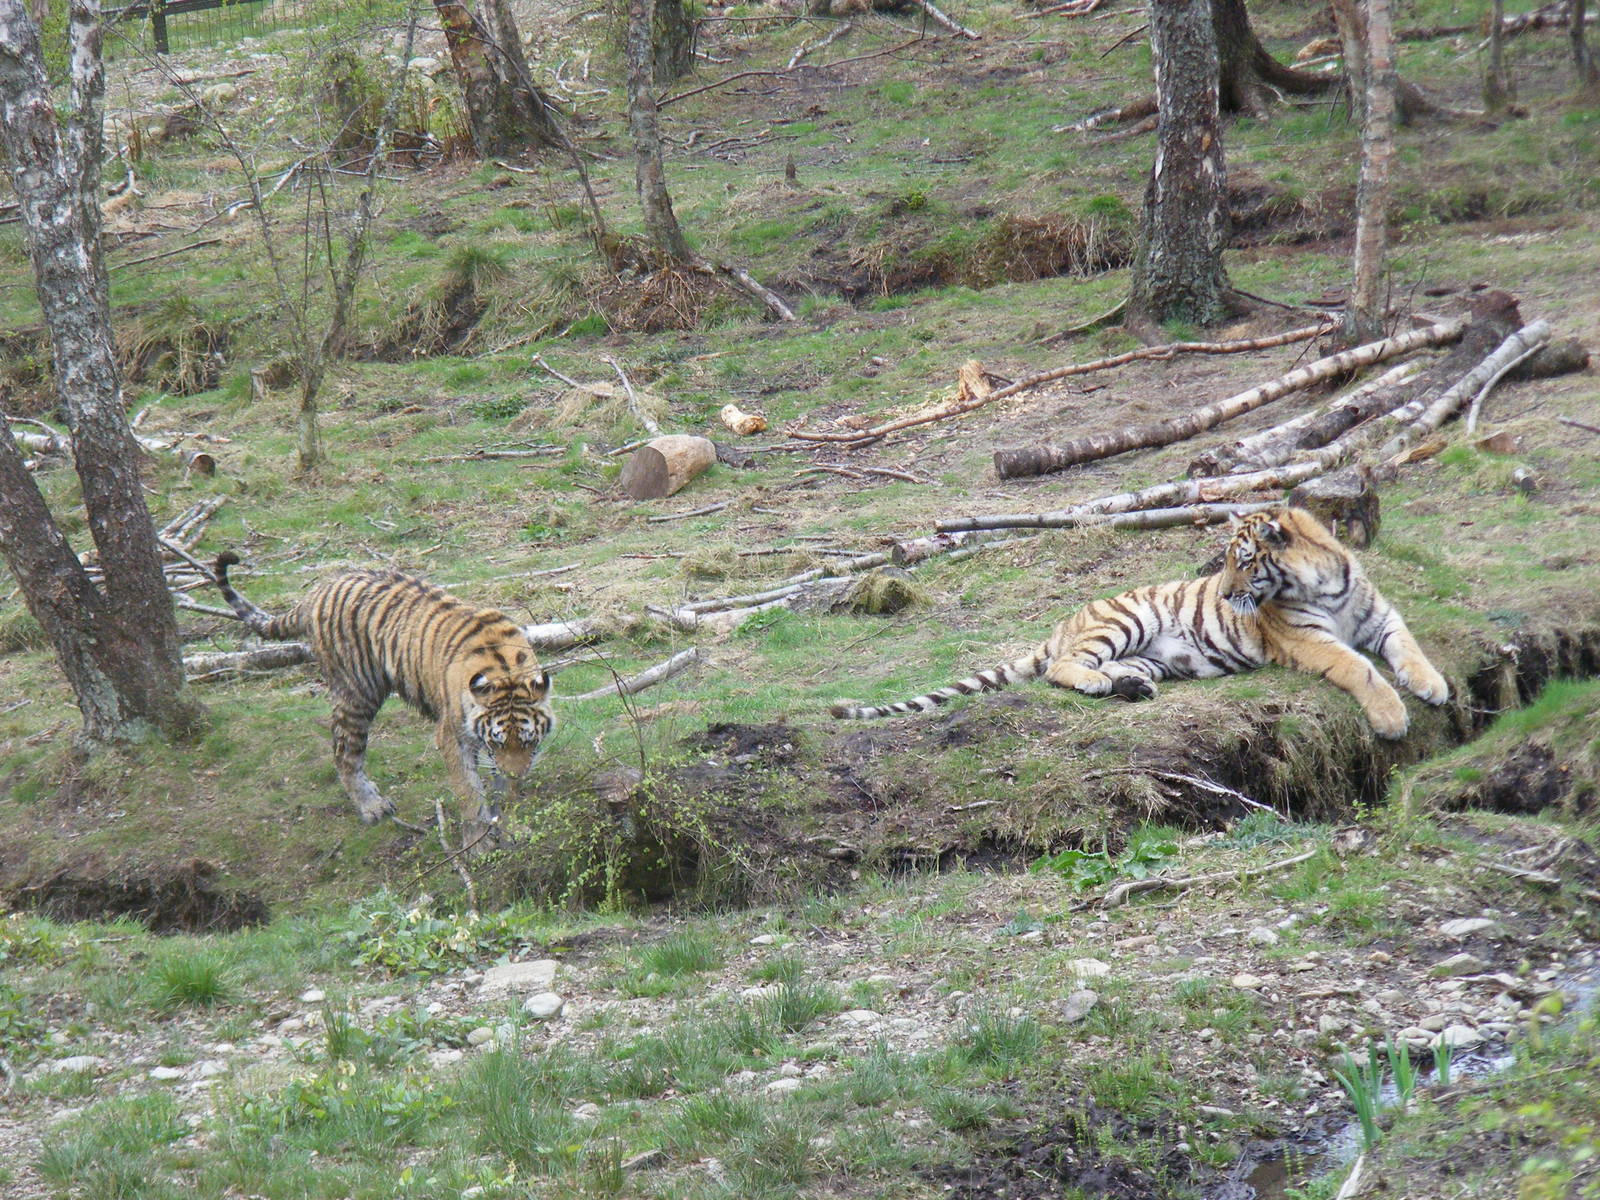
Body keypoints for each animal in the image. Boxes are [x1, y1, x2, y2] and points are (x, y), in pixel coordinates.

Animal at [212, 552, 555, 847]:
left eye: (527, 742)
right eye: (496, 741)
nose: (515, 773)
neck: (506, 671)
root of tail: (320, 589)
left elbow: (504, 794)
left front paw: (510, 827)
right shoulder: (452, 737)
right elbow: (468, 793)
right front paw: (477, 845)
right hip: (357, 693)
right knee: (344, 752)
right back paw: (372, 806)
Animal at [830, 507, 1448, 739]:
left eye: (1244, 560)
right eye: (1228, 560)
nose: (1227, 592)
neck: (1322, 580)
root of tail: (1065, 622)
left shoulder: (1381, 618)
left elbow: (1410, 648)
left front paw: (1435, 687)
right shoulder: (1309, 639)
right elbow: (1360, 669)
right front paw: (1393, 719)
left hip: (1154, 654)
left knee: (1107, 668)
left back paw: (1129, 686)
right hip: (1124, 620)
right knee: (1062, 667)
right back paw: (1096, 681)